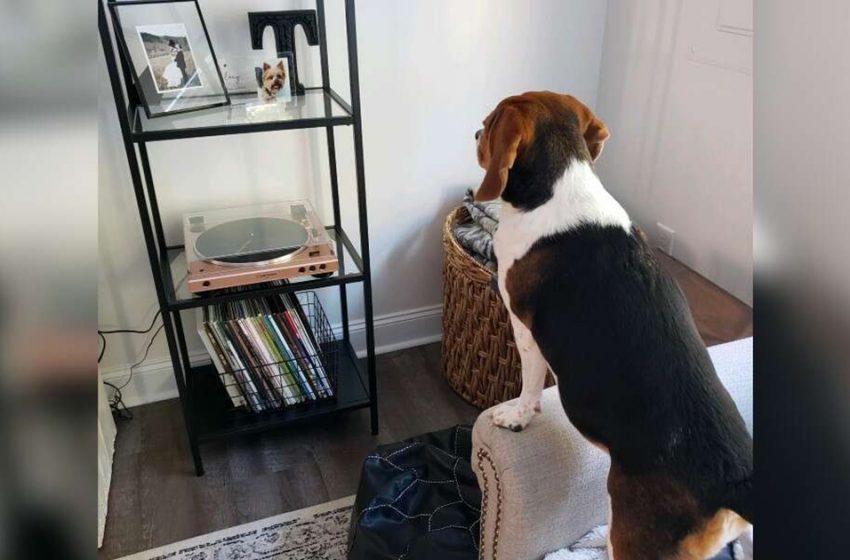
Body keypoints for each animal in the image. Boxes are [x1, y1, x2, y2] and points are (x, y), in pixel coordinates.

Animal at [474, 93, 752, 560]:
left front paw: (516, 417)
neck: (561, 186)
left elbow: (529, 385)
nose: (476, 133)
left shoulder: (524, 329)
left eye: (489, 121)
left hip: (634, 535)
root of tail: (731, 484)